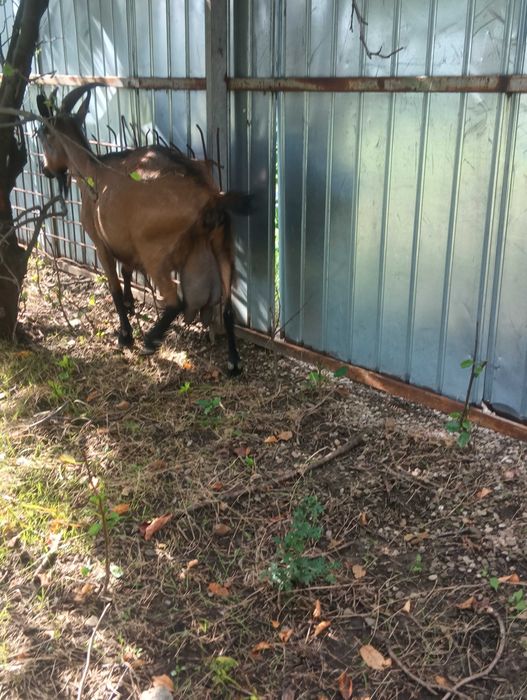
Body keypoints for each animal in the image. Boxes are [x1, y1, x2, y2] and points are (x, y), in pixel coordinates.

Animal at [36, 85, 250, 374]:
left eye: (42, 134)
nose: (45, 169)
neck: (92, 170)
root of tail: (209, 196)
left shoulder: (101, 244)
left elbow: (114, 287)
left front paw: (125, 335)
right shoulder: (127, 246)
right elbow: (127, 272)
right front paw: (130, 304)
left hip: (155, 254)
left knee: (175, 301)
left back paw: (150, 340)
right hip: (222, 245)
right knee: (227, 307)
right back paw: (233, 360)